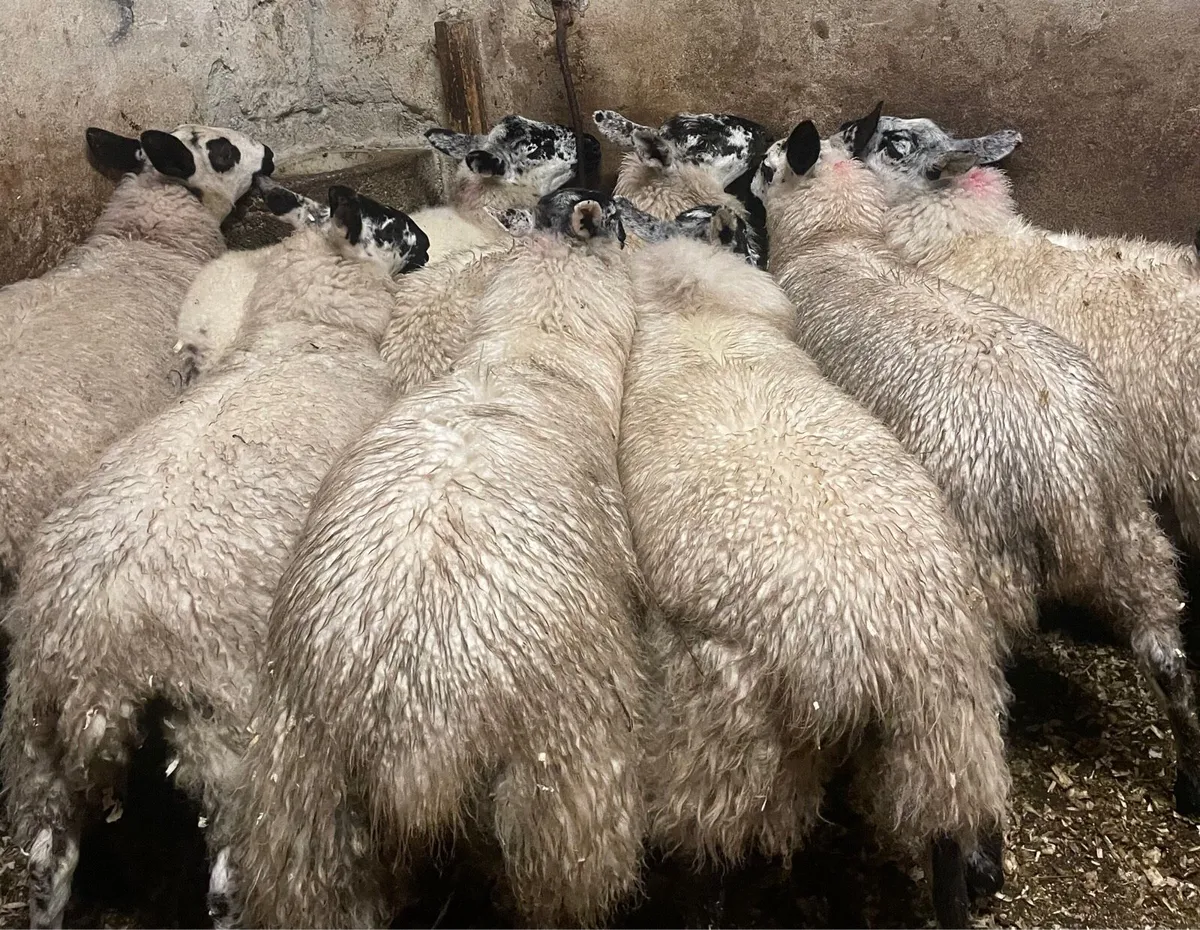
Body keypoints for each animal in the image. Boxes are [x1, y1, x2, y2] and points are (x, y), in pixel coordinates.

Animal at [0, 183, 429, 930]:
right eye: (395, 226)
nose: (429, 245)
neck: (303, 335)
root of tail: (101, 653)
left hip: (36, 733)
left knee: (45, 865)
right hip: (223, 732)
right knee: (229, 879)